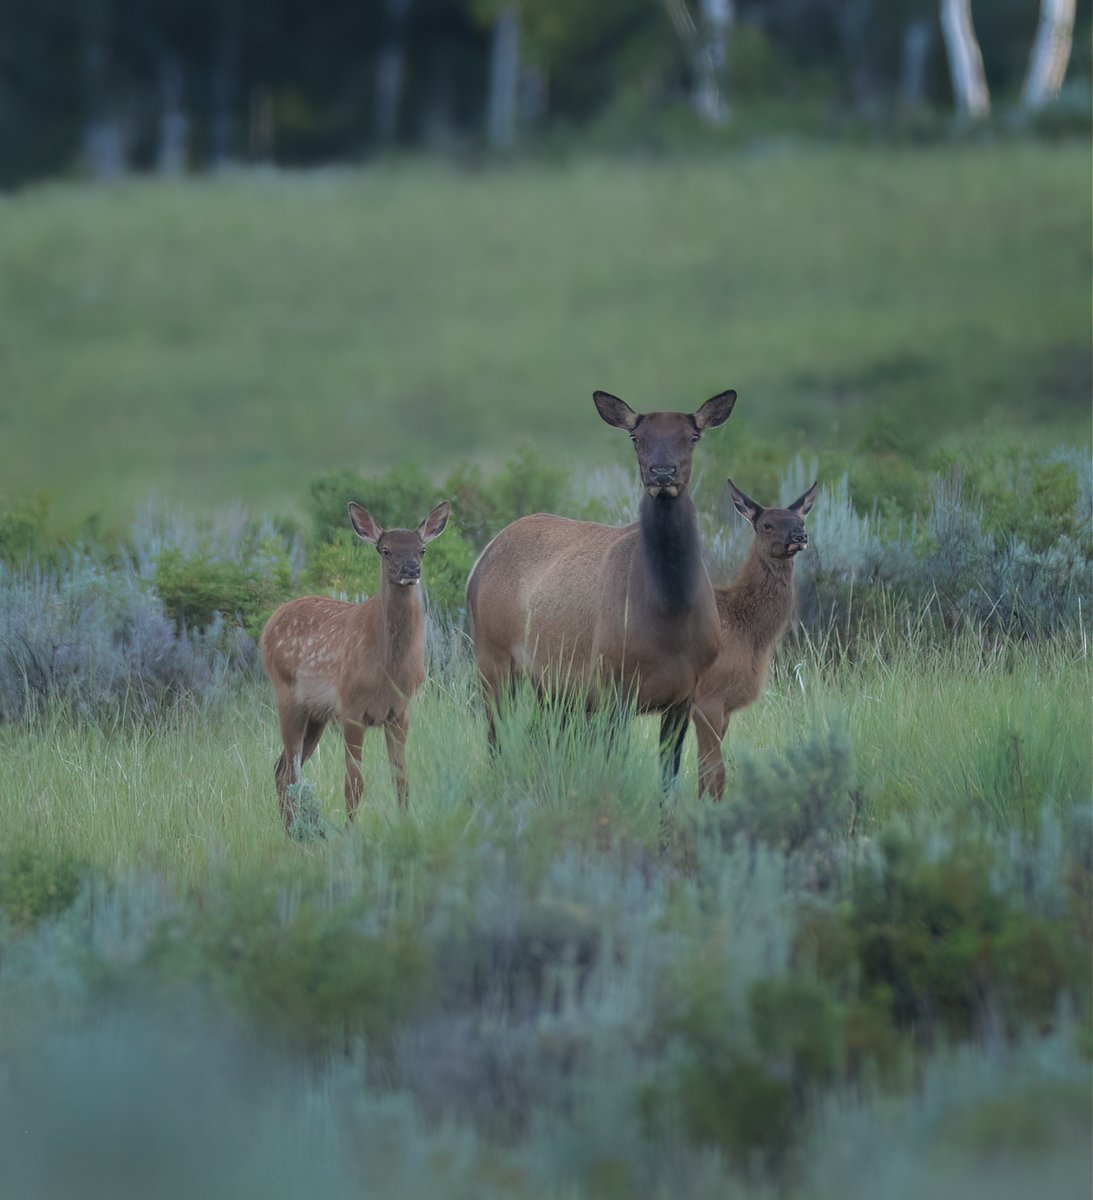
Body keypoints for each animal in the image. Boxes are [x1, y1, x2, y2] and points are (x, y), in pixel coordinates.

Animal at [260, 500, 450, 832]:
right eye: (385, 550)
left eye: (422, 549)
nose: (411, 570)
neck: (387, 668)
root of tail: (269, 625)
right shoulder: (351, 709)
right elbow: (354, 783)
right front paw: (351, 832)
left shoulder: (400, 712)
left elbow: (401, 778)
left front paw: (405, 825)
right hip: (288, 697)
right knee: (291, 772)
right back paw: (296, 832)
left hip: (316, 716)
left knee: (281, 766)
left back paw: (294, 830)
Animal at [466, 389, 737, 791]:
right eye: (637, 438)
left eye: (693, 436)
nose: (662, 472)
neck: (669, 617)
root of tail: (481, 559)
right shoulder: (612, 684)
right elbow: (615, 760)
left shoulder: (687, 694)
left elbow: (669, 772)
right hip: (493, 657)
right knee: (496, 738)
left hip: (551, 683)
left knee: (538, 735)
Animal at [692, 478, 817, 801]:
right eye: (767, 525)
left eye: (801, 520)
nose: (799, 536)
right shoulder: (708, 697)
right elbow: (716, 774)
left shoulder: (724, 708)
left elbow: (703, 773)